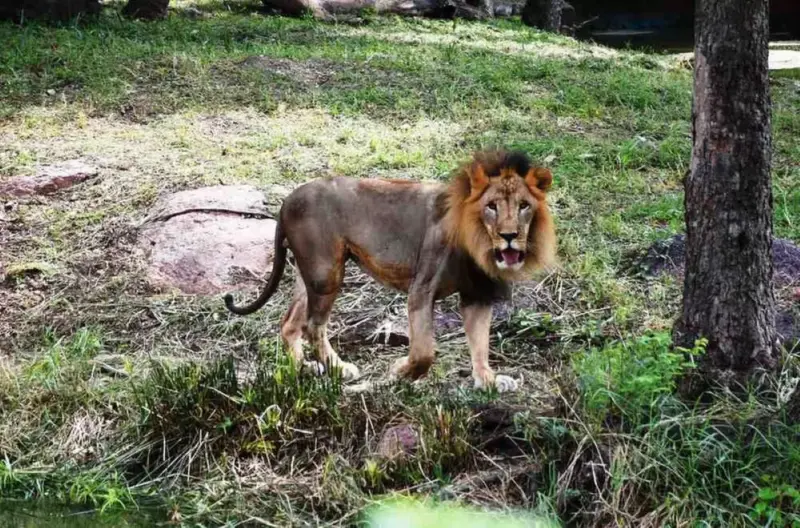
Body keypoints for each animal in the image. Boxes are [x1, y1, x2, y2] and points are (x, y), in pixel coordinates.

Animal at [224, 150, 556, 392]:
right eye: (492, 206)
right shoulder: (422, 288)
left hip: (311, 274)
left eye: (524, 206)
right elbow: (424, 351)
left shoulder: (477, 295)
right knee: (311, 325)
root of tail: (286, 201)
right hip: (326, 272)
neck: (479, 243)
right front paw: (400, 372)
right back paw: (338, 368)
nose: (510, 236)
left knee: (289, 323)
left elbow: (480, 344)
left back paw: (302, 369)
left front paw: (488, 380)